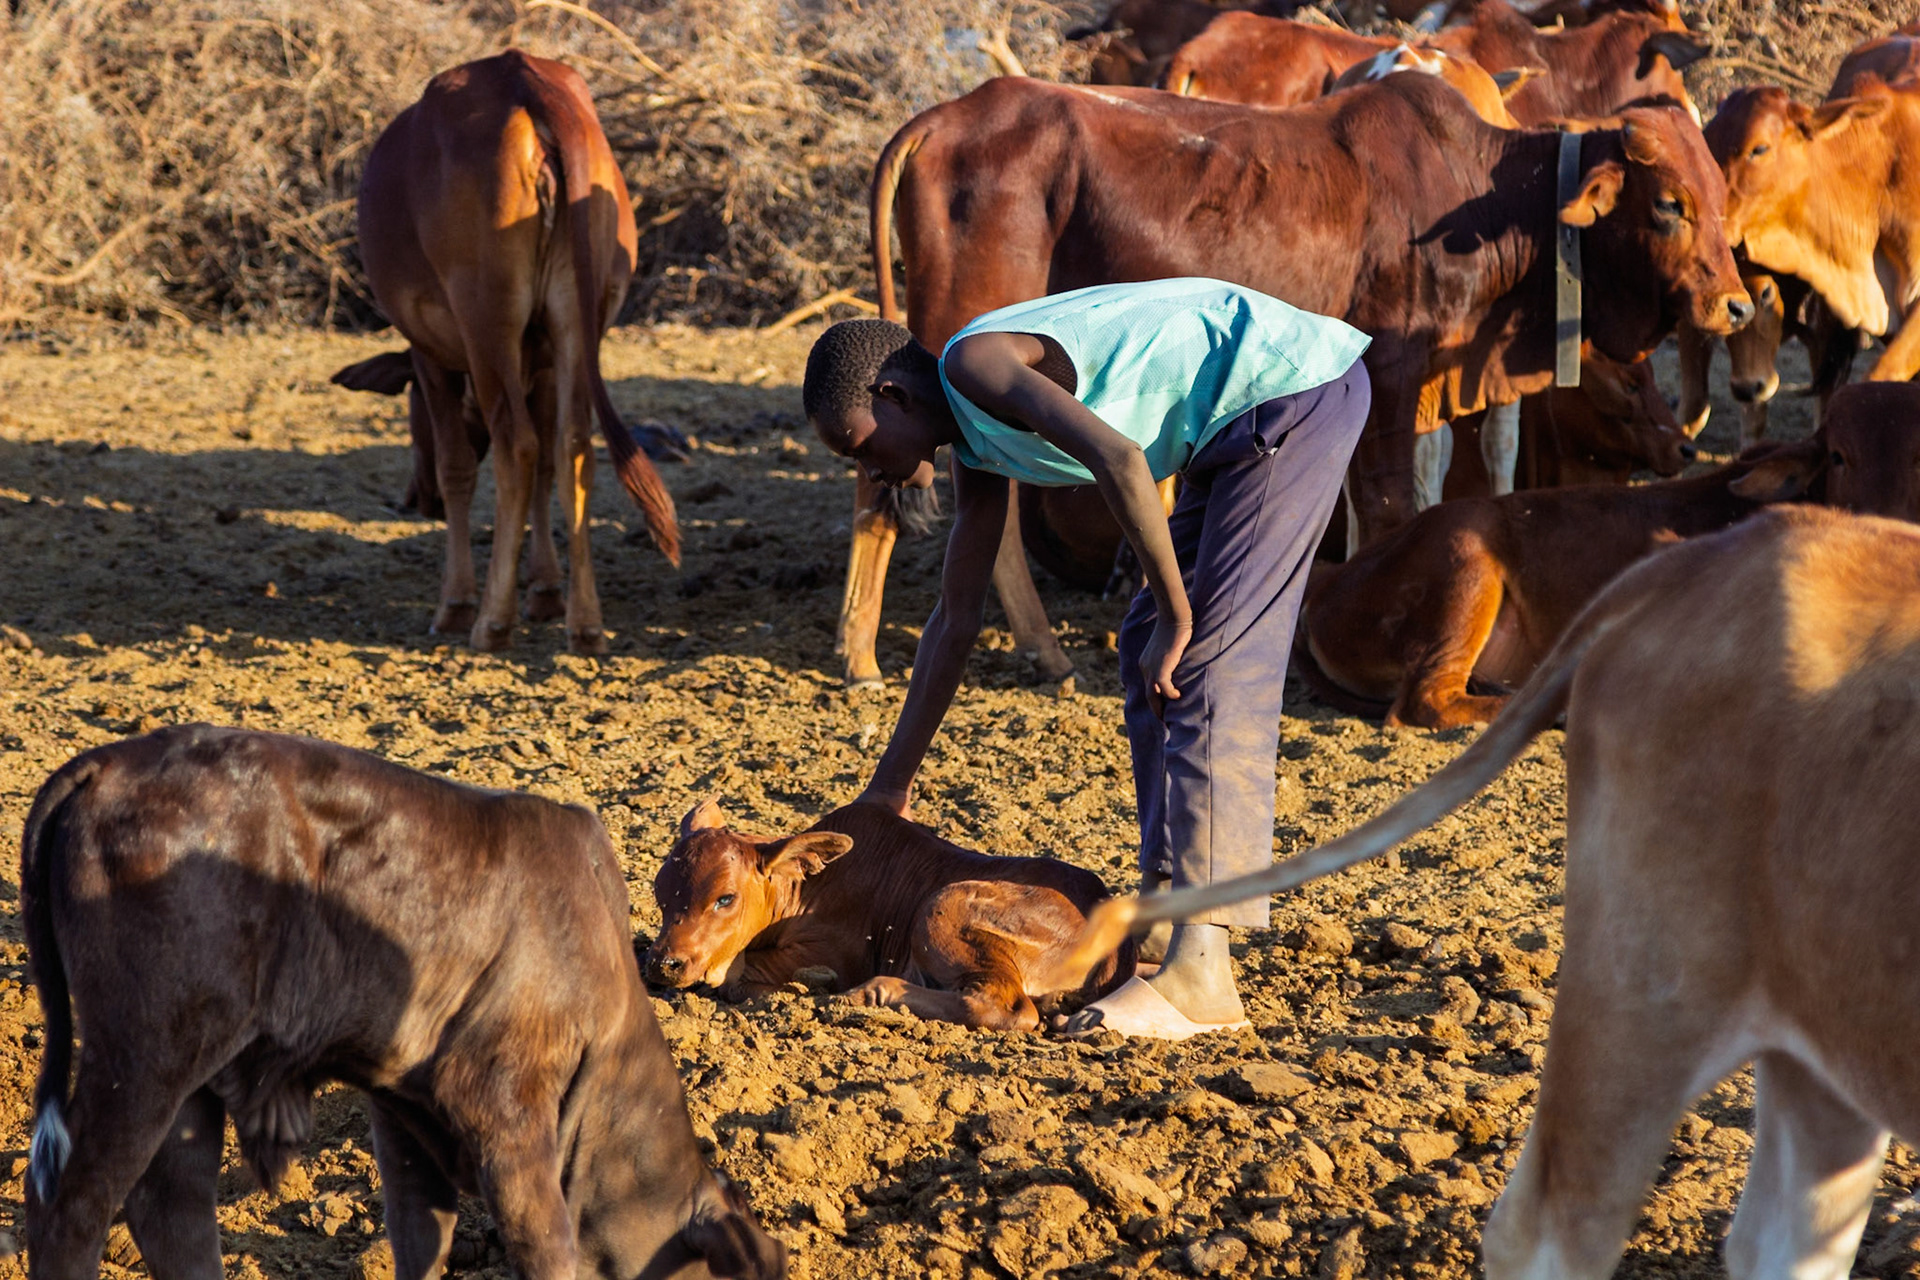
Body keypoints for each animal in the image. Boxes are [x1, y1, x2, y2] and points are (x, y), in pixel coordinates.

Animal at [18, 726, 784, 1280]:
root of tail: (107, 763)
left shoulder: (404, 1110)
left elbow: (423, 1240)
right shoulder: (508, 1116)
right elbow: (545, 1248)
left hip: (194, 1076)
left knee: (171, 1206)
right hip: (146, 1056)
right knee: (74, 1203)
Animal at [355, 51, 679, 656]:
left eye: (409, 413)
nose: (417, 501)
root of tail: (522, 77)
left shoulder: (430, 355)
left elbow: (459, 465)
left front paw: (456, 603)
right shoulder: (548, 360)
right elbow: (553, 468)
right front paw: (547, 592)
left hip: (488, 323)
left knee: (517, 447)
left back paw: (491, 621)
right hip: (578, 320)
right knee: (574, 447)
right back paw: (585, 623)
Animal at [644, 800, 1136, 1031]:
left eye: (725, 898)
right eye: (659, 892)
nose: (665, 963)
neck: (807, 886)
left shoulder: (838, 955)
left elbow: (737, 977)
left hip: (944, 907)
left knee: (1006, 1006)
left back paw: (869, 994)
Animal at [840, 72, 1751, 686]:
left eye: (1720, 193)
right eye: (1668, 203)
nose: (1736, 306)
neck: (1486, 199)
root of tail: (948, 115)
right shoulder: (1392, 367)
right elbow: (1387, 501)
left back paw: (1032, 649)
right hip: (945, 346)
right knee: (884, 487)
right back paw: (862, 656)